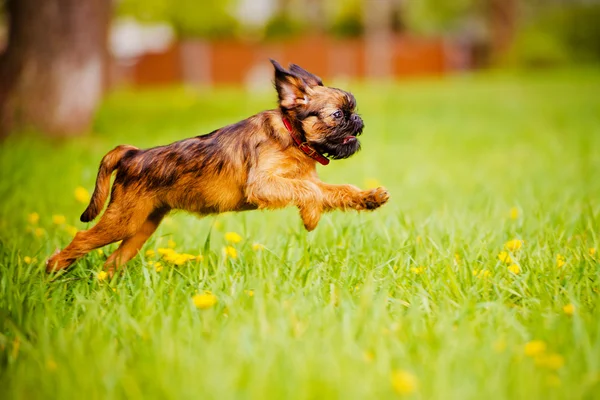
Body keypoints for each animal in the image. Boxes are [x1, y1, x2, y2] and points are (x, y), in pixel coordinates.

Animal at [45, 61, 390, 276]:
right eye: (337, 115)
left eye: (352, 110)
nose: (357, 119)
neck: (291, 135)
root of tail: (133, 154)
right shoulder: (263, 183)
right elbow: (307, 190)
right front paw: (311, 216)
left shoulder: (302, 180)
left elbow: (333, 190)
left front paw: (368, 198)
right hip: (123, 221)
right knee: (80, 240)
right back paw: (52, 273)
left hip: (141, 226)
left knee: (113, 261)